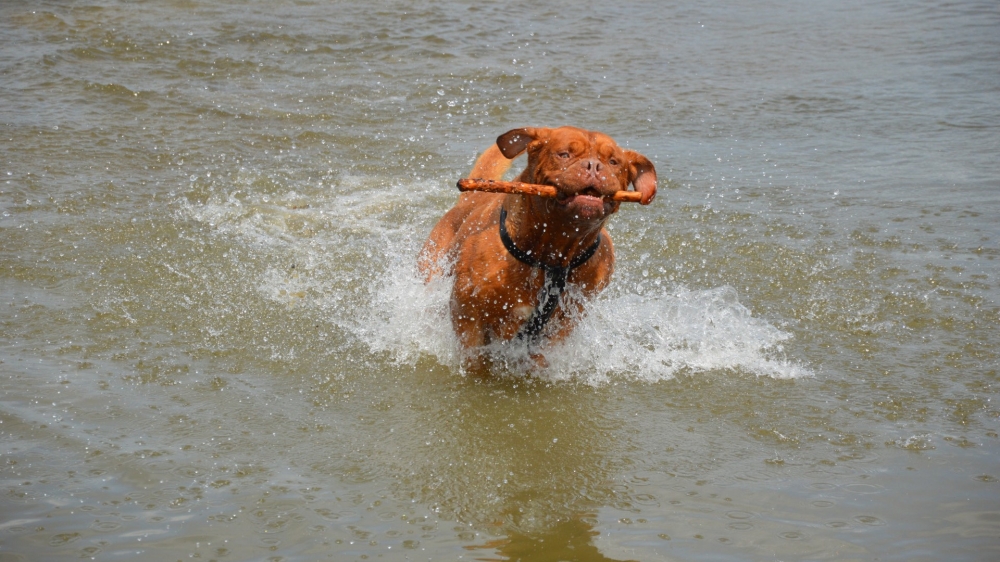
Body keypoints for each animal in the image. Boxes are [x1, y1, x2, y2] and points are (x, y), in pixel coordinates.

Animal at [420, 126, 656, 368]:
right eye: (564, 154)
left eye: (613, 162)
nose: (593, 165)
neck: (551, 253)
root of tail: (468, 201)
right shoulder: (467, 311)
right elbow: (474, 357)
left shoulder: (565, 322)